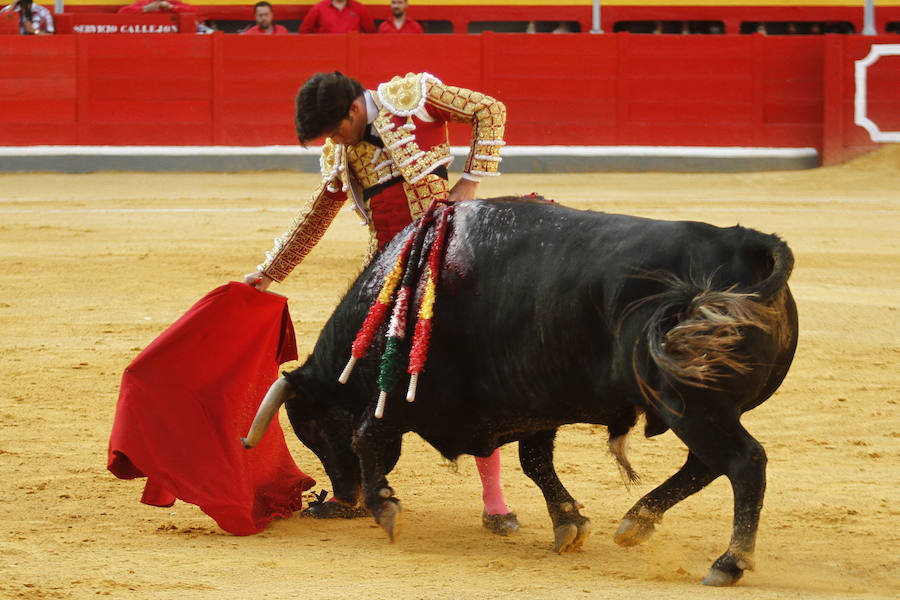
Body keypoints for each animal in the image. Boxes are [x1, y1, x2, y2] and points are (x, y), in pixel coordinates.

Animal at [239, 197, 796, 584]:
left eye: (315, 427)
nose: (343, 497)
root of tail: (746, 243)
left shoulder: (393, 399)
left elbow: (367, 435)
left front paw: (385, 509)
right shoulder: (534, 405)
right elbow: (535, 463)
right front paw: (568, 524)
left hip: (692, 405)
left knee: (743, 462)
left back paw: (728, 562)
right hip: (702, 407)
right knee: (706, 464)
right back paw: (636, 523)